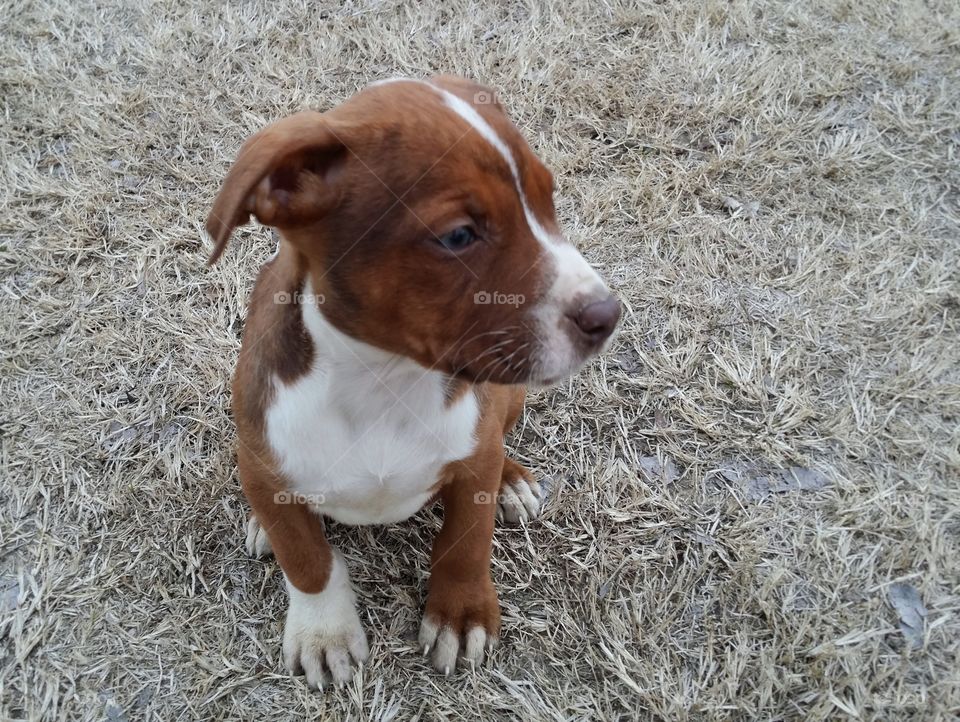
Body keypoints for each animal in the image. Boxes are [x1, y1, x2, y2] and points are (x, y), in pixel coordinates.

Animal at [206, 76, 620, 684]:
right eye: (458, 236)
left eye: (548, 200)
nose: (607, 315)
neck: (384, 379)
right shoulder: (261, 456)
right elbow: (307, 561)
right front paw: (323, 632)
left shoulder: (473, 458)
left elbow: (467, 540)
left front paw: (460, 615)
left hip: (510, 397)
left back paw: (513, 481)